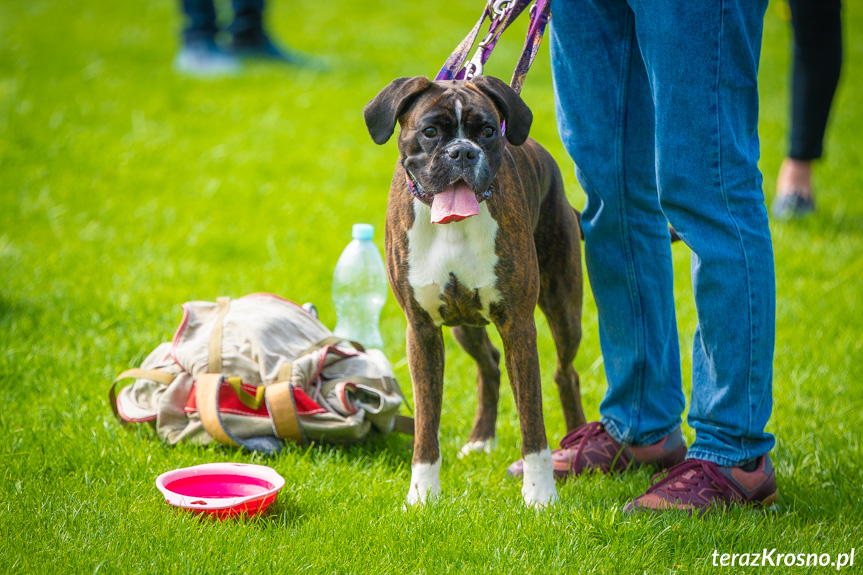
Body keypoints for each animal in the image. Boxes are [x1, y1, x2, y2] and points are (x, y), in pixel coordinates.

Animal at [362, 76, 584, 508]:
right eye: (431, 131)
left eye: (487, 131)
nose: (463, 152)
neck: (451, 224)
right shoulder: (422, 331)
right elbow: (426, 423)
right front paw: (422, 495)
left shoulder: (518, 326)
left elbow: (532, 421)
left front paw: (540, 495)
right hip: (465, 325)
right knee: (490, 364)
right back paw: (481, 440)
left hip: (564, 309)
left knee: (566, 373)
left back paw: (576, 438)